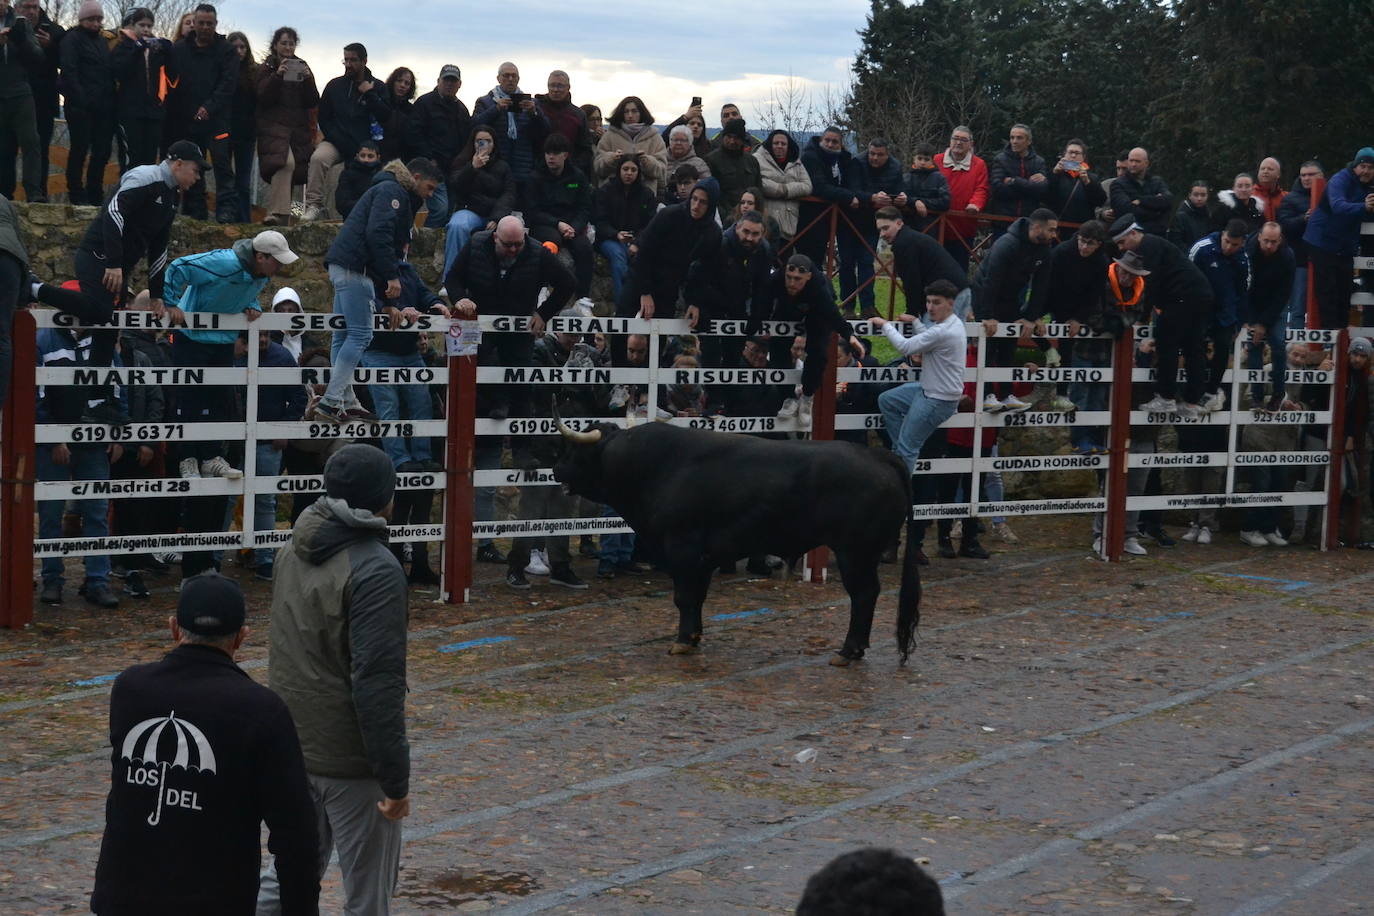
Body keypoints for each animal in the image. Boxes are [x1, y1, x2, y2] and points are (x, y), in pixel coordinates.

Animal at [549, 417, 923, 667]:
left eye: (575, 452)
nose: (555, 470)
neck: (655, 466)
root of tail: (878, 456)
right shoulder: (703, 558)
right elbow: (697, 599)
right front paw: (694, 637)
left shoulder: (682, 549)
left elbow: (684, 598)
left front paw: (681, 641)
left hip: (854, 552)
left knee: (863, 595)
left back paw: (848, 650)